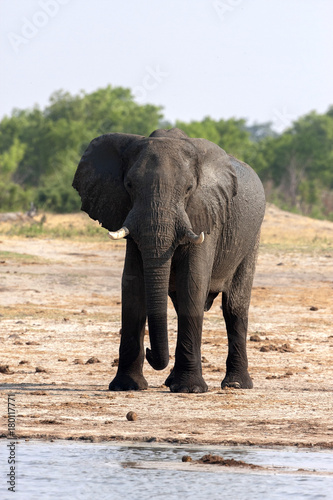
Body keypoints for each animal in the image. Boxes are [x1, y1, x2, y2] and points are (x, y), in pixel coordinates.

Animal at [72, 127, 264, 392]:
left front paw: (190, 389)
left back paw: (236, 384)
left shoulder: (204, 213)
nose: (150, 351)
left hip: (251, 239)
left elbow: (192, 282)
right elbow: (133, 285)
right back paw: (173, 381)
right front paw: (127, 386)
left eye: (189, 188)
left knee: (234, 307)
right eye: (129, 185)